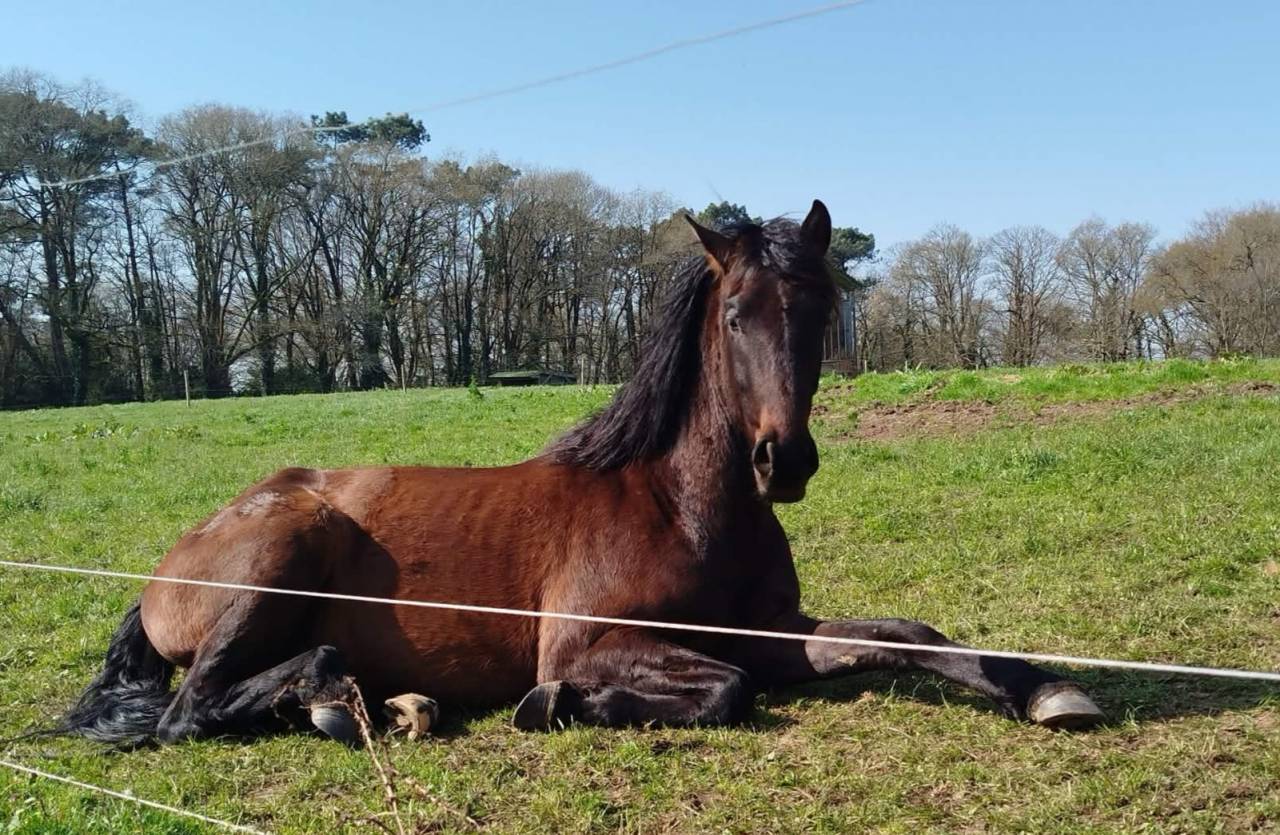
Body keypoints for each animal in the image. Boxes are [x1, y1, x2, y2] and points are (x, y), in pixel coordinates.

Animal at [61, 200, 1102, 748]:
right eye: (736, 315)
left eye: (820, 310)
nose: (785, 460)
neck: (681, 505)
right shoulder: (592, 639)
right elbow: (727, 688)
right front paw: (558, 701)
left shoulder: (776, 631)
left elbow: (908, 636)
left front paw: (1045, 689)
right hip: (281, 555)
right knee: (191, 708)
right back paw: (333, 698)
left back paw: (386, 701)